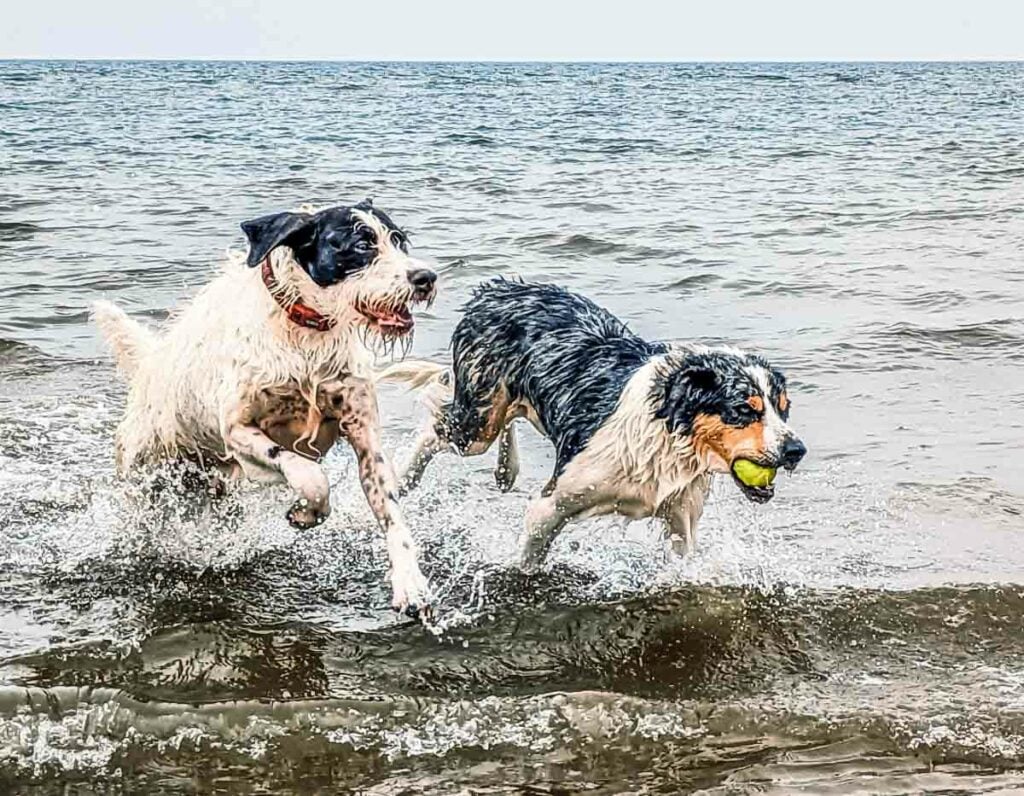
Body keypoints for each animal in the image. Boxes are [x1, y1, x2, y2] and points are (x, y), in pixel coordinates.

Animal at [380, 276, 802, 569]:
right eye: (744, 409)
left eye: (784, 408)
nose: (796, 450)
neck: (666, 432)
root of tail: (495, 290)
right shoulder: (553, 503)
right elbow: (530, 554)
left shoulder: (681, 514)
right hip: (477, 421)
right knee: (437, 419)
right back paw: (403, 477)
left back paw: (506, 469)